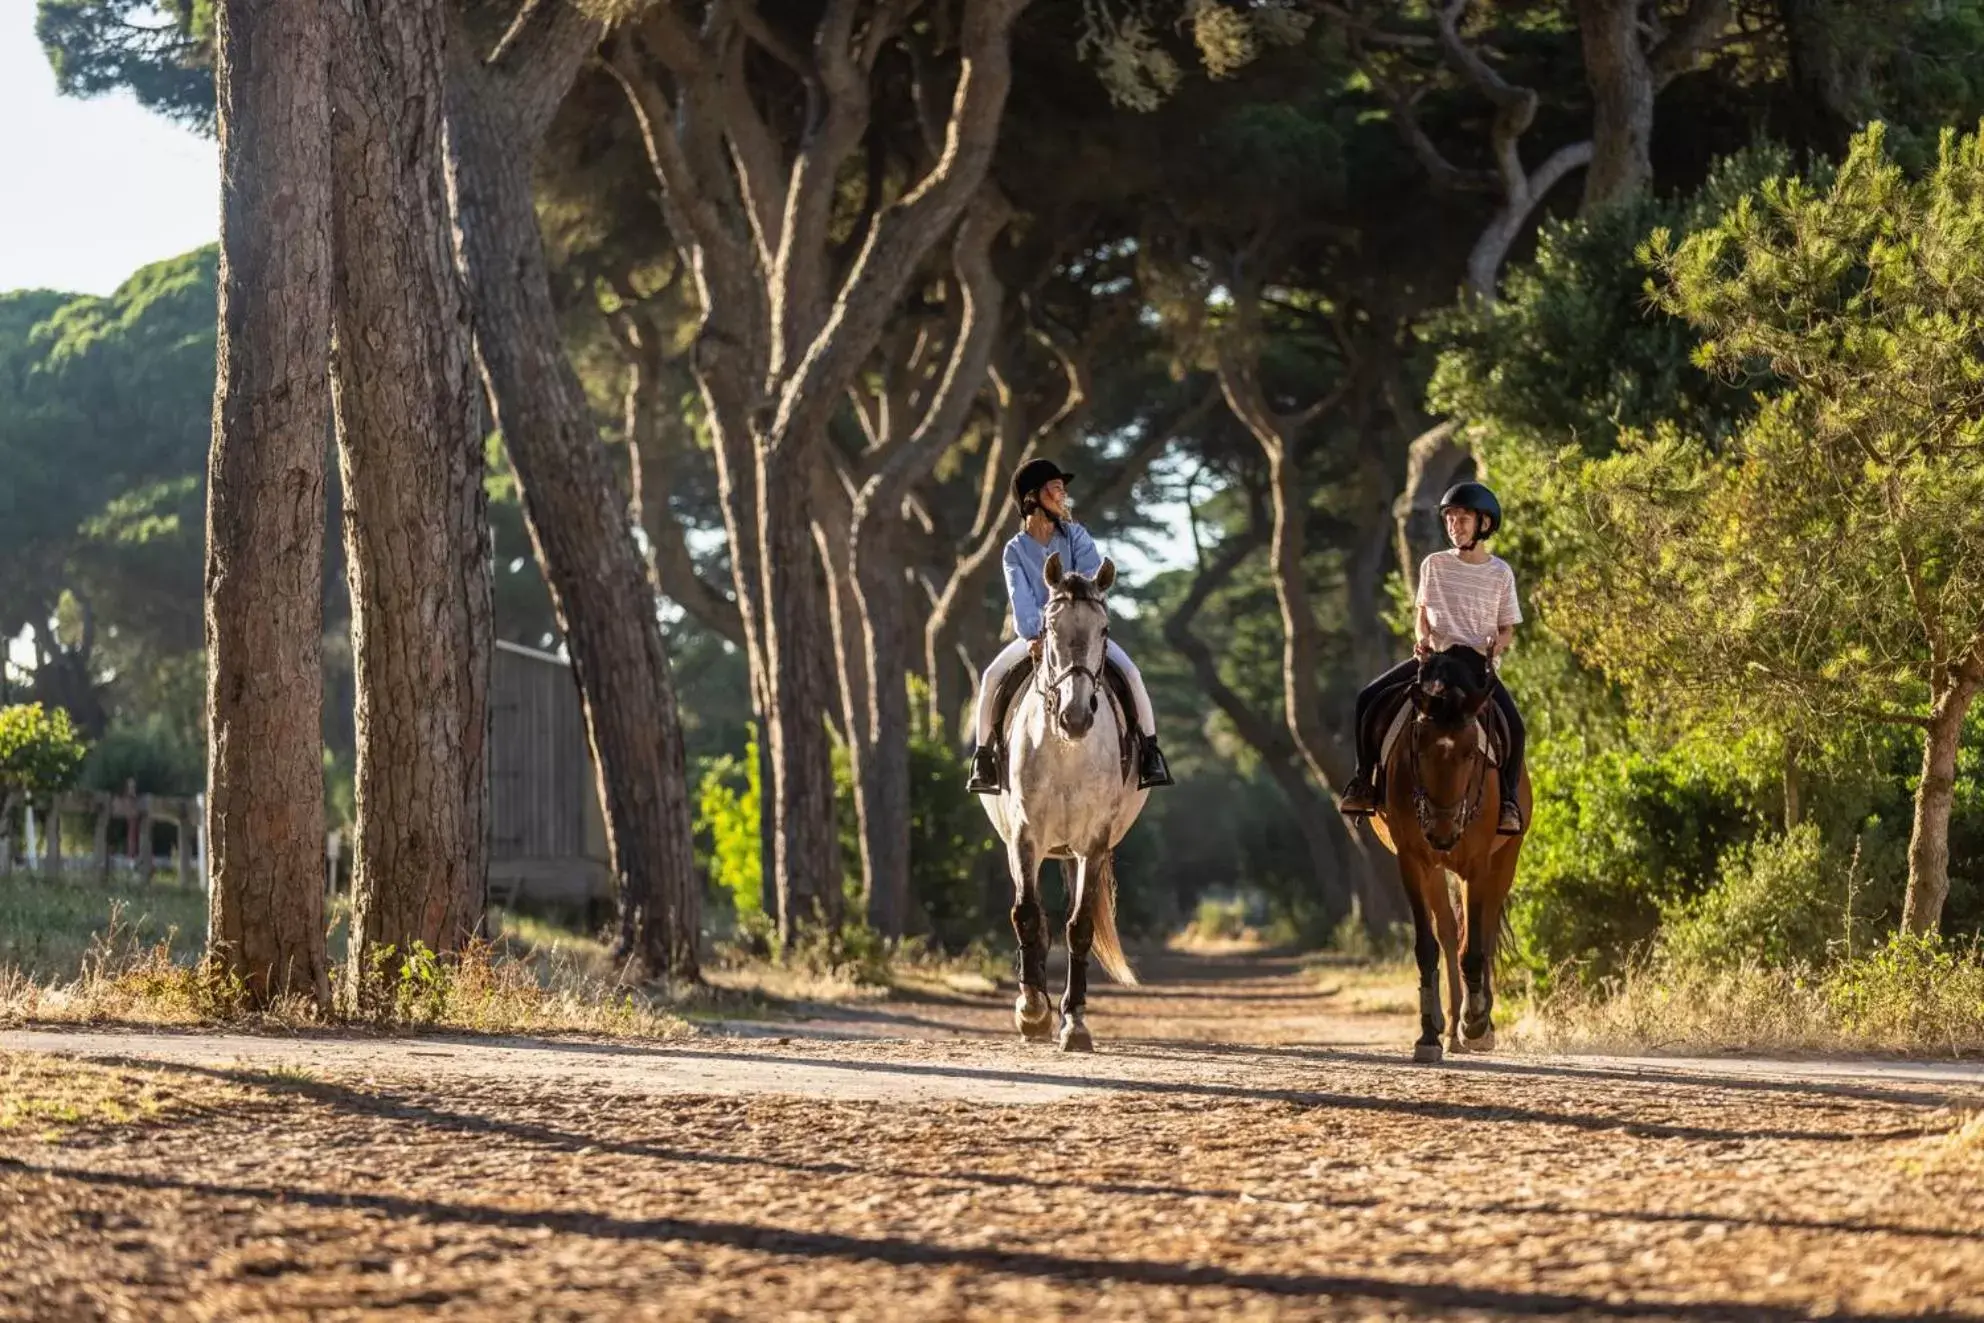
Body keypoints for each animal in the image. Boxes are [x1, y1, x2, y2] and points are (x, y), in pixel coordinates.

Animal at [980, 555, 1150, 1047]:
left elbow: (1079, 927)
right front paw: (1032, 1011)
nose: (1075, 717)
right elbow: (1027, 916)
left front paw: (1074, 1022)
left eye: (1104, 629)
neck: (1065, 748)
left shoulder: (1093, 842)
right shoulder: (1025, 837)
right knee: (1033, 917)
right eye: (1050, 627)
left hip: (1076, 852)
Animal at [1372, 650, 1523, 1063]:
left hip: (1504, 862)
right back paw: (1453, 1028)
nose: (1442, 832)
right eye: (1419, 748)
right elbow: (1428, 945)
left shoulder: (1477, 864)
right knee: (1450, 932)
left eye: (1472, 753)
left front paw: (1477, 1021)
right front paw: (1428, 1034)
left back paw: (1478, 1025)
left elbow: (1476, 946)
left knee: (1482, 933)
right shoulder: (1412, 860)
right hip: (1437, 869)